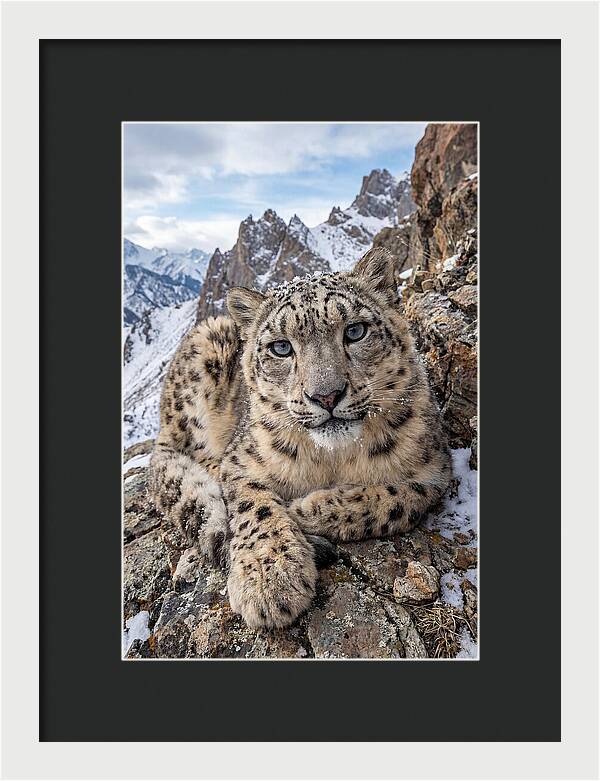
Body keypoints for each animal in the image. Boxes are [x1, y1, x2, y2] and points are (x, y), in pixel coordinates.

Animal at [149, 248, 451, 629]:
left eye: (355, 331)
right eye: (281, 347)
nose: (326, 395)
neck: (333, 459)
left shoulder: (434, 470)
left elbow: (397, 499)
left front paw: (306, 509)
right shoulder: (240, 461)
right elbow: (254, 507)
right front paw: (269, 579)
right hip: (202, 359)